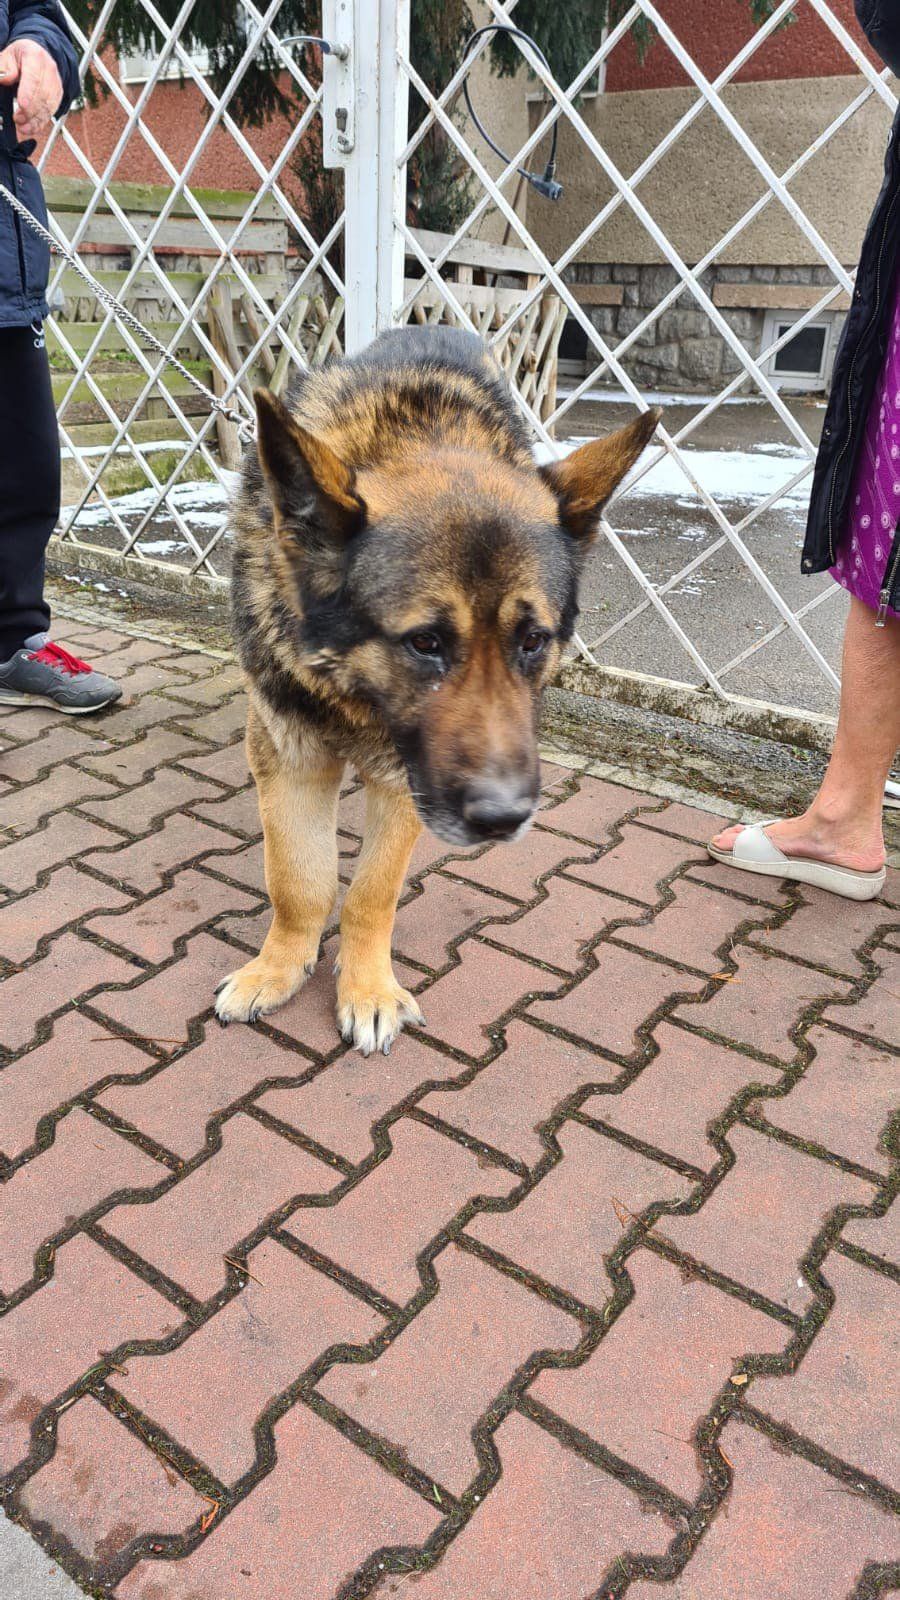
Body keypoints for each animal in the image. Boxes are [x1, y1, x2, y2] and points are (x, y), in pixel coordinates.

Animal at [214, 326, 659, 1054]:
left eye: (532, 640)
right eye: (425, 642)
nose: (504, 819)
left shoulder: (405, 781)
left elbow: (370, 893)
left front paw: (366, 988)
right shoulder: (291, 755)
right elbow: (299, 881)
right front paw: (278, 968)